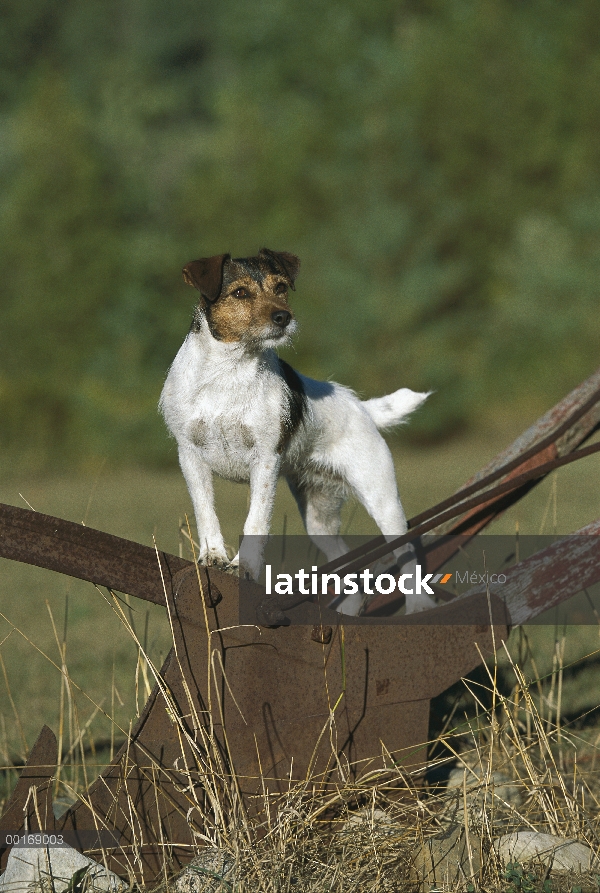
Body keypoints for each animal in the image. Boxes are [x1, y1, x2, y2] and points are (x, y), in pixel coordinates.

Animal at [157, 251, 434, 612]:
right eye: (240, 293)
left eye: (281, 288)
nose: (283, 317)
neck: (228, 373)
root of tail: (361, 407)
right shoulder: (190, 456)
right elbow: (205, 512)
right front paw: (213, 556)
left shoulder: (265, 460)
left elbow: (256, 520)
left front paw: (244, 566)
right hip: (319, 517)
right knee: (347, 564)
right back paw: (347, 611)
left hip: (382, 499)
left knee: (405, 549)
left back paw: (419, 605)